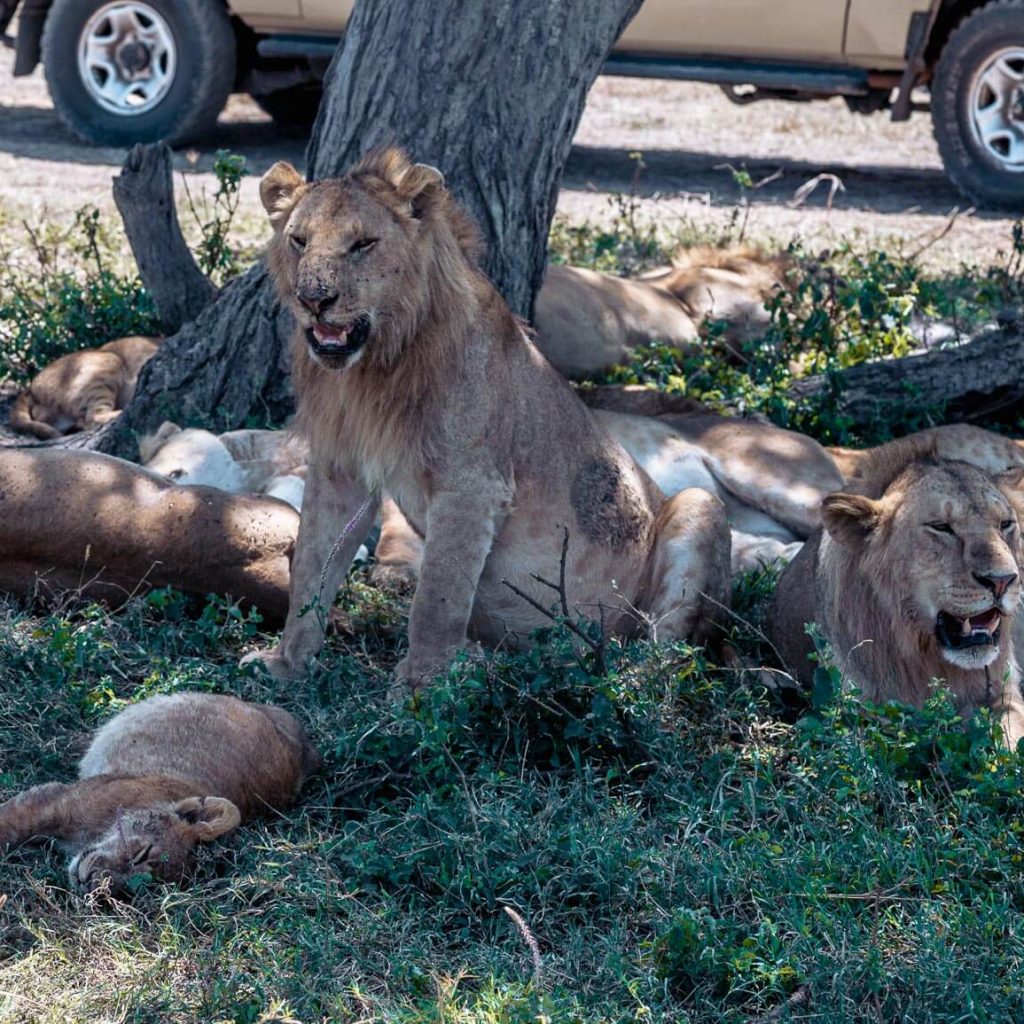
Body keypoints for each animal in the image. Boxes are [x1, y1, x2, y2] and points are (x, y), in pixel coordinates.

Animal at [242, 148, 732, 688]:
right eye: (299, 241)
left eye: (363, 244)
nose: (313, 299)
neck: (376, 369)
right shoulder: (339, 471)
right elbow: (312, 566)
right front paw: (286, 662)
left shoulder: (471, 485)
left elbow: (437, 596)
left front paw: (422, 686)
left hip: (699, 505)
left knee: (668, 650)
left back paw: (615, 678)